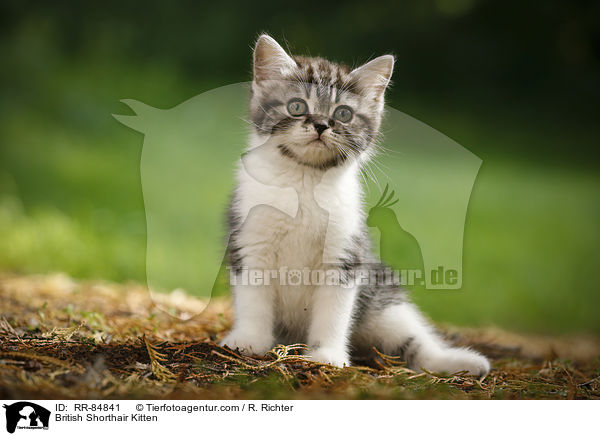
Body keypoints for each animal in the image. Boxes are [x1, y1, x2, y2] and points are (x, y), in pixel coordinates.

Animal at [223, 34, 490, 376]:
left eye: (344, 114)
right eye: (297, 107)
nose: (321, 124)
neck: (305, 180)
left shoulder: (345, 253)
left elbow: (334, 311)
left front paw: (327, 355)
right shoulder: (250, 240)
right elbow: (253, 299)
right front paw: (248, 340)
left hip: (384, 301)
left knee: (415, 342)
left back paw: (460, 361)